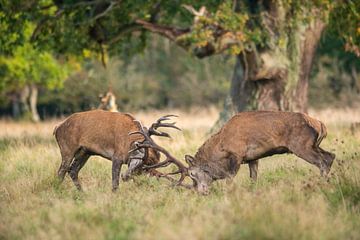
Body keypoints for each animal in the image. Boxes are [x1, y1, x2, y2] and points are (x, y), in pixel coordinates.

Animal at [131, 111, 334, 194]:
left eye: (193, 174)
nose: (201, 192)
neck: (221, 145)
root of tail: (320, 124)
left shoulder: (237, 154)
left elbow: (229, 178)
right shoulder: (253, 158)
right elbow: (254, 178)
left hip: (301, 145)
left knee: (323, 161)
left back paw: (322, 184)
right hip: (313, 145)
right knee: (331, 156)